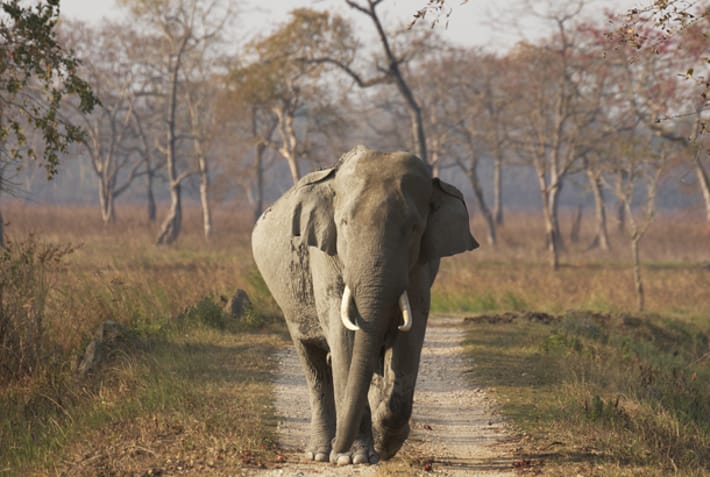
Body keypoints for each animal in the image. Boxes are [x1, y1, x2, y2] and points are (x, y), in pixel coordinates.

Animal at [251, 145, 478, 465]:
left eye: (413, 228)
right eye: (345, 223)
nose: (340, 448)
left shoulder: (421, 266)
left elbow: (411, 330)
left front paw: (385, 445)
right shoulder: (325, 255)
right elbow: (344, 333)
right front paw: (353, 459)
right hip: (289, 307)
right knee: (314, 365)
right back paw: (319, 453)